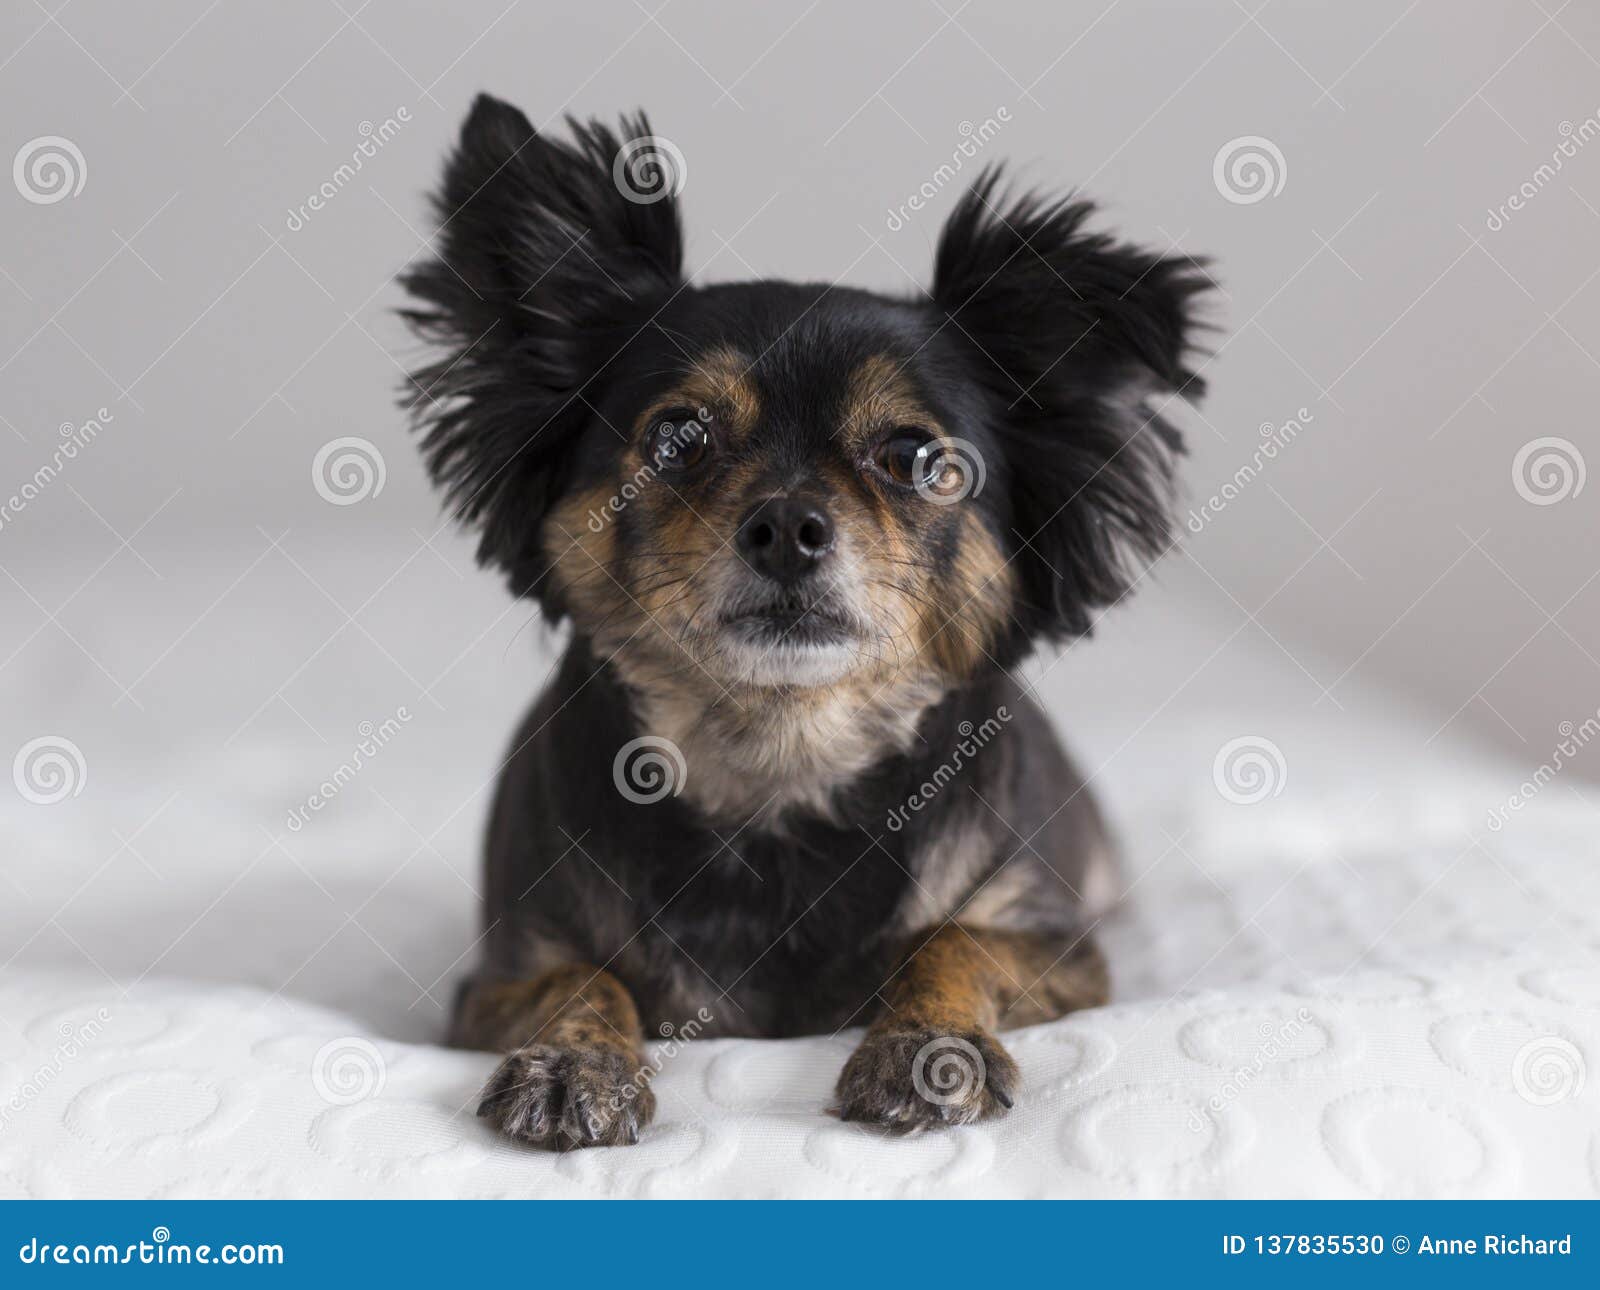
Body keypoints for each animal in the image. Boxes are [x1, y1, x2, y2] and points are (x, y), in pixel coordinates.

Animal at [403, 98, 1209, 1152]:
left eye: (915, 457)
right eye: (677, 438)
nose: (787, 525)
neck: (780, 768)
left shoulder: (1061, 951)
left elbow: (951, 940)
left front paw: (926, 1048)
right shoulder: (497, 980)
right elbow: (583, 977)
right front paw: (578, 1062)